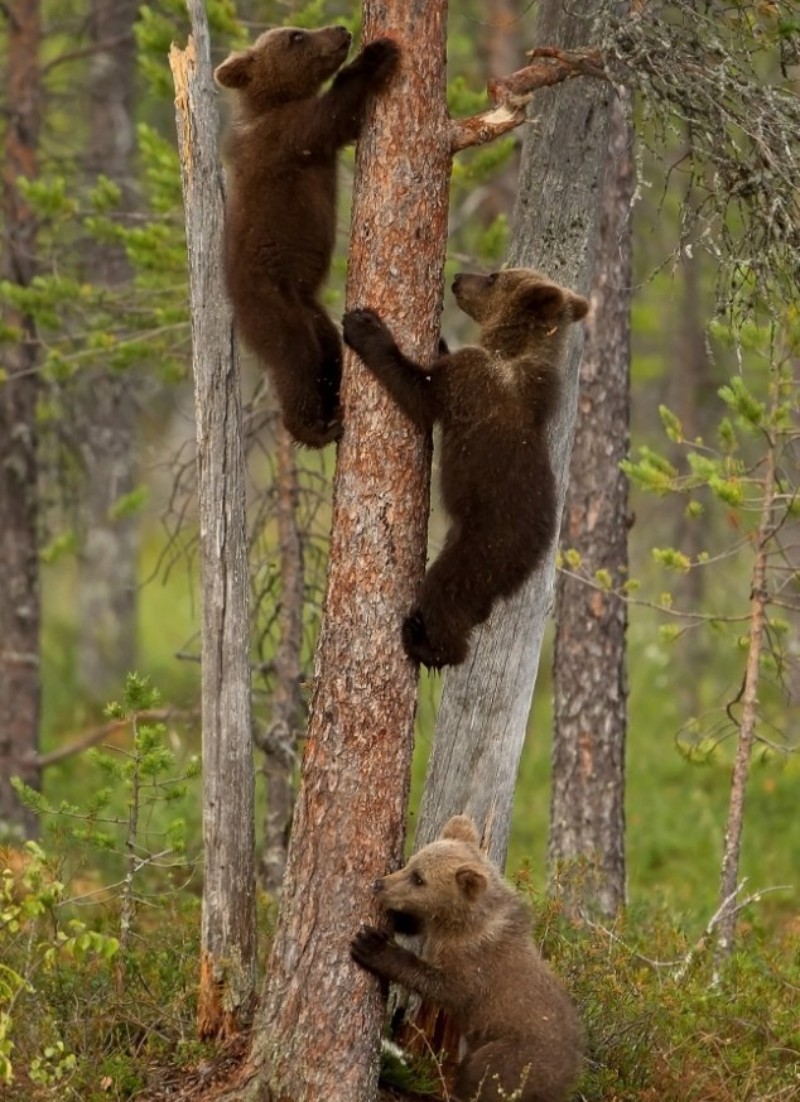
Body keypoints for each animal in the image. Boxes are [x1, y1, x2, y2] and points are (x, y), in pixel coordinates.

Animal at [214, 26, 400, 447]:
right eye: (295, 36)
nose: (342, 30)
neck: (273, 101)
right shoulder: (285, 136)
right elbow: (331, 115)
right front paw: (377, 54)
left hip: (312, 309)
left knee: (328, 348)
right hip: (273, 303)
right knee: (295, 358)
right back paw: (315, 427)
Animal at [342, 268, 589, 666]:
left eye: (492, 277)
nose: (457, 277)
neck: (509, 349)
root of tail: (536, 551)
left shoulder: (470, 380)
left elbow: (420, 393)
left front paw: (364, 327)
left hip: (485, 546)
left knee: (447, 590)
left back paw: (424, 641)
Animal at [351, 815, 583, 1102]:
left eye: (419, 879)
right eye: (412, 863)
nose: (380, 884)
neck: (459, 924)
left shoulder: (474, 965)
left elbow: (443, 986)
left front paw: (371, 945)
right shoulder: (436, 927)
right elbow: (417, 925)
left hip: (513, 1055)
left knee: (483, 1073)